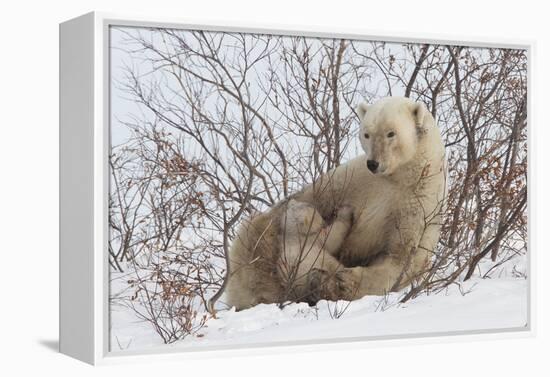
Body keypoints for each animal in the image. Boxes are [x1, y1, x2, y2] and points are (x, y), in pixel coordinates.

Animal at [211, 97, 448, 312]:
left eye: (391, 133)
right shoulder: (351, 180)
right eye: (367, 134)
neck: (399, 177)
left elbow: (398, 257)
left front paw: (343, 282)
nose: (373, 163)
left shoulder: (417, 204)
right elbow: (316, 200)